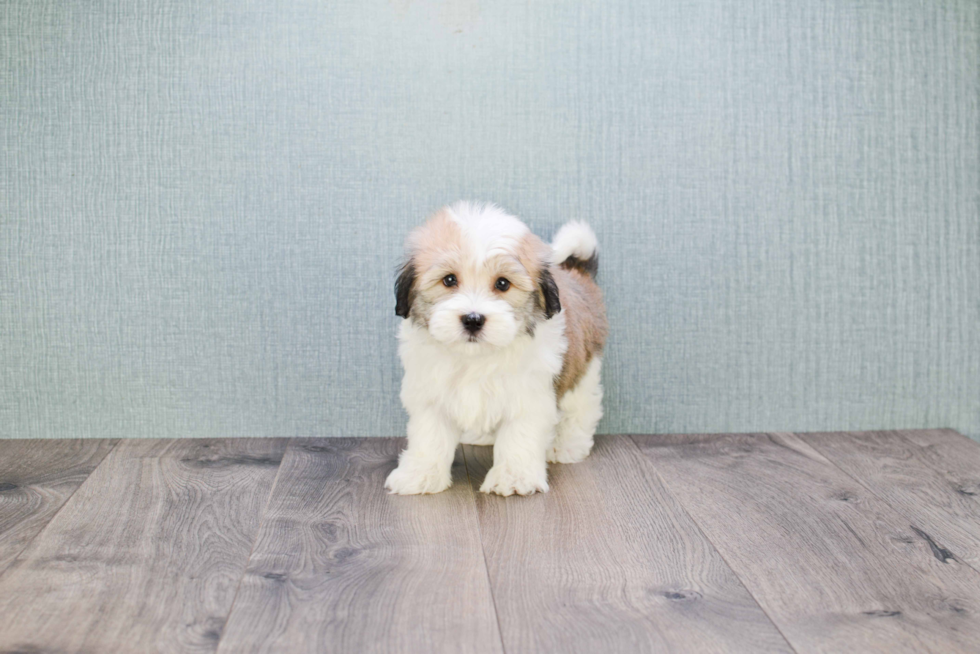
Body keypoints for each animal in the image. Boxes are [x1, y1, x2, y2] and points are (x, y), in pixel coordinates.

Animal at [386, 201, 608, 498]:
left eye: (502, 283)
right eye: (449, 280)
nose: (473, 319)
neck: (475, 358)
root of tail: (577, 273)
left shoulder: (528, 394)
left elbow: (518, 436)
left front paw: (513, 478)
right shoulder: (430, 392)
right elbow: (429, 435)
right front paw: (419, 475)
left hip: (584, 367)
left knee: (581, 407)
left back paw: (567, 445)